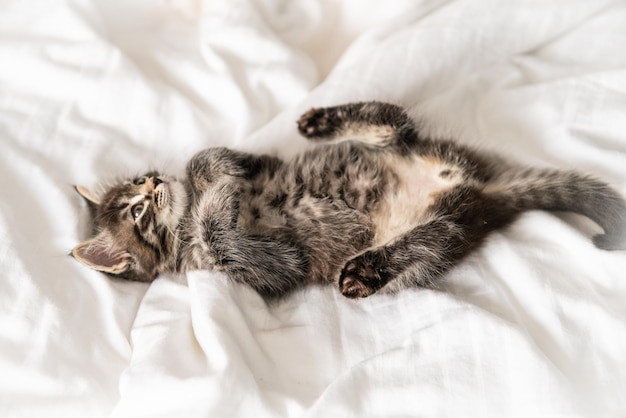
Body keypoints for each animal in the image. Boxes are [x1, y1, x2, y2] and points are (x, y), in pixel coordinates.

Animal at [70, 101, 624, 298]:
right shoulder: (269, 268)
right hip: (447, 233)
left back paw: (321, 121)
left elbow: (219, 160)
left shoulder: (257, 168)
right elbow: (218, 228)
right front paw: (217, 192)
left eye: (140, 181)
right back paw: (366, 270)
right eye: (137, 211)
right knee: (423, 243)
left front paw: (218, 168)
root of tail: (478, 192)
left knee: (394, 122)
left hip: (410, 152)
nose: (154, 184)